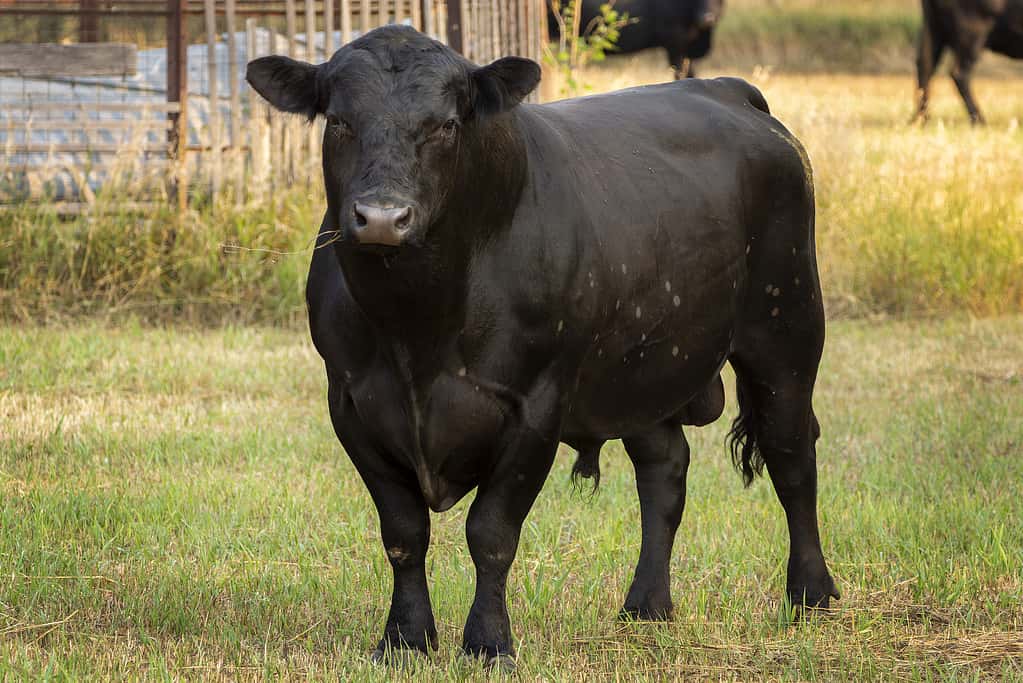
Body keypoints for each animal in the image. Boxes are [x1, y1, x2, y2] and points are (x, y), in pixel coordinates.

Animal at [247, 25, 838, 666]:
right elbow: (403, 532)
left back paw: (811, 594)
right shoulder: (352, 403)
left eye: (446, 125)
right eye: (339, 121)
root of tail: (729, 90)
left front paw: (488, 642)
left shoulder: (535, 404)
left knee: (791, 455)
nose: (382, 217)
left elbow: (491, 532)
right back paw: (646, 605)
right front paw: (404, 640)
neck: (417, 331)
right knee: (664, 470)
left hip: (786, 330)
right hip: (639, 369)